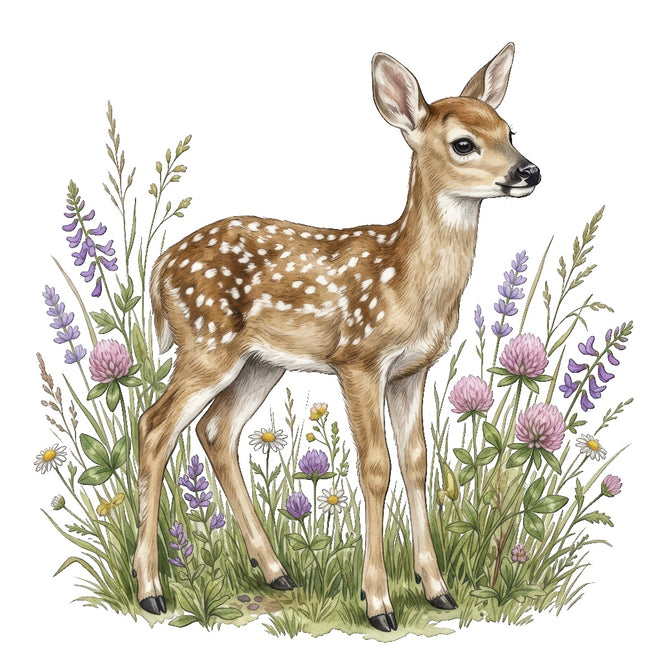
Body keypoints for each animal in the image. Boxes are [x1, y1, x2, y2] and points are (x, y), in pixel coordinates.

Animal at [132, 43, 540, 632]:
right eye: (464, 142)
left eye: (510, 130)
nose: (529, 169)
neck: (408, 279)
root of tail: (159, 268)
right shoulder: (359, 359)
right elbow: (375, 468)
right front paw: (379, 603)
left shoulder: (413, 369)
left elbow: (416, 462)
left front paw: (437, 589)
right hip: (207, 344)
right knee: (154, 426)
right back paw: (151, 590)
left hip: (261, 363)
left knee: (216, 431)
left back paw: (276, 571)